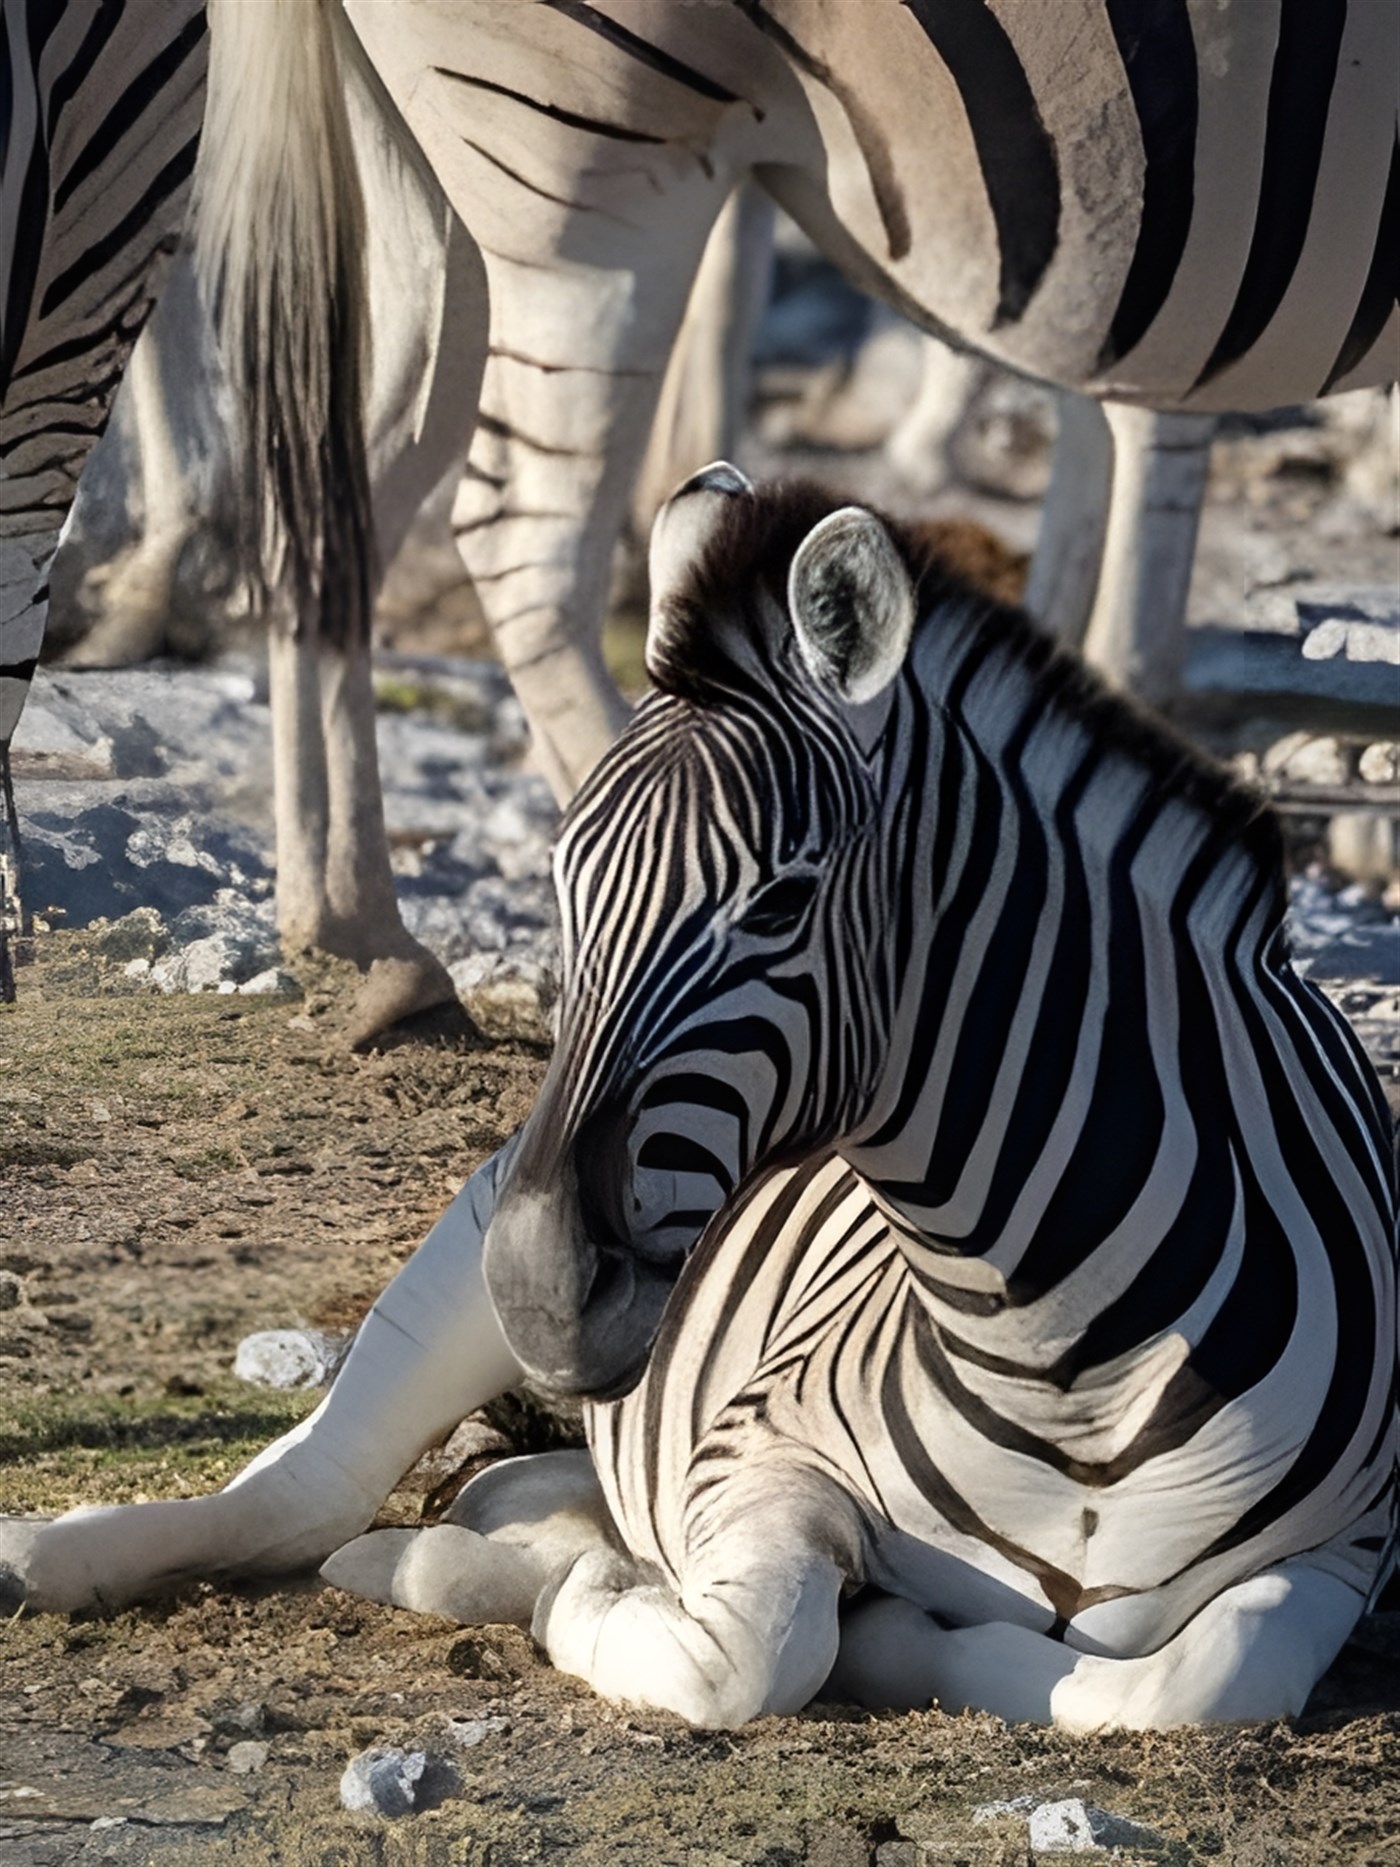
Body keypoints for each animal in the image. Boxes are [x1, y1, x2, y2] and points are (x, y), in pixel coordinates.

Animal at [5, 465, 1393, 1732]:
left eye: (777, 904)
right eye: (562, 885)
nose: (536, 1288)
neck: (1064, 1367)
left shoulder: (1349, 1549)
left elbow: (1194, 1679)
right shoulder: (756, 1448)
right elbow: (750, 1653)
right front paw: (620, 1598)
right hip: (467, 1238)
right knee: (311, 1492)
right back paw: (67, 1556)